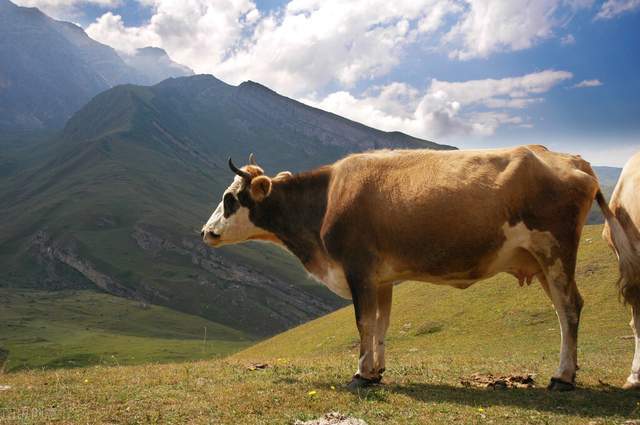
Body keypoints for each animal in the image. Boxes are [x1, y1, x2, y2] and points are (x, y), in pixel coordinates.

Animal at [201, 145, 624, 390]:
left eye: (230, 198)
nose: (205, 232)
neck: (325, 201)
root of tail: (573, 160)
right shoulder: (382, 278)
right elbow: (381, 325)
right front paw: (376, 371)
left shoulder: (357, 269)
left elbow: (363, 323)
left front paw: (360, 375)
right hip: (543, 261)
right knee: (563, 310)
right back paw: (567, 371)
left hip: (555, 251)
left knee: (569, 308)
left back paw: (563, 377)